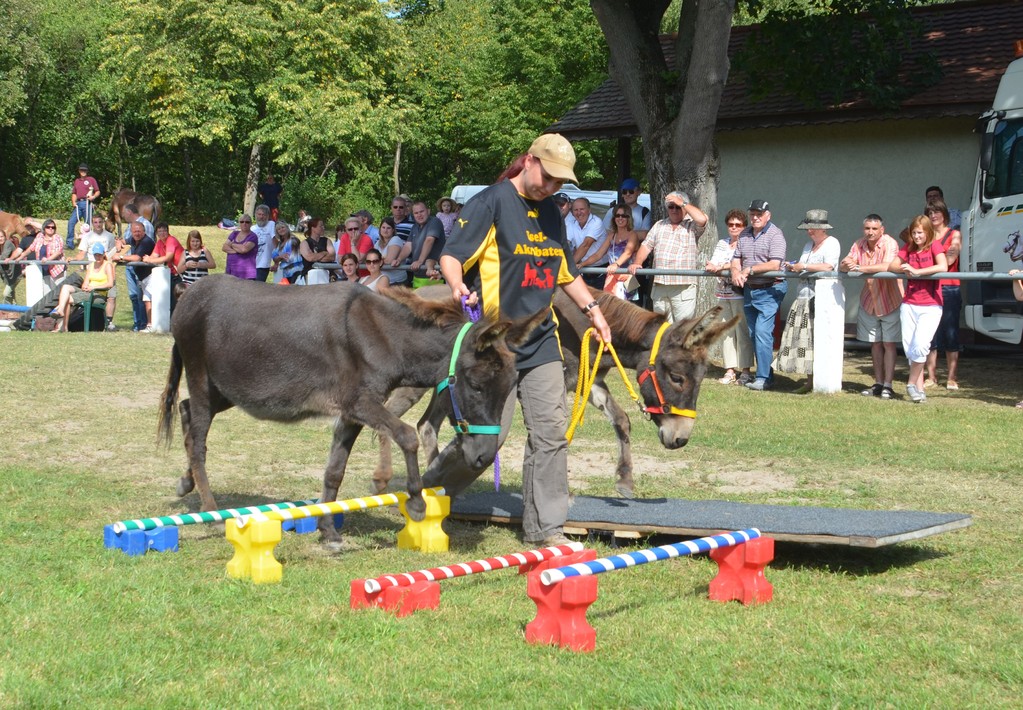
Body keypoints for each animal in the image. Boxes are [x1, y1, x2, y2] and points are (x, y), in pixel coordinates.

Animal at [157, 276, 544, 548]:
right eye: (476, 386)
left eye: (510, 388)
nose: (482, 457)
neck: (385, 337)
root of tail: (188, 294)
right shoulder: (361, 403)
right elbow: (406, 435)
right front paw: (417, 502)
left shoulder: (351, 412)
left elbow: (335, 471)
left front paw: (327, 530)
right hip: (202, 377)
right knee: (198, 439)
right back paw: (211, 509)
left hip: (225, 389)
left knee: (187, 413)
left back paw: (186, 483)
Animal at [374, 288, 736, 501]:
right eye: (677, 378)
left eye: (700, 380)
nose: (680, 439)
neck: (583, 328)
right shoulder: (557, 383)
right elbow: (556, 433)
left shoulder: (588, 381)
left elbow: (621, 421)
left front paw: (625, 481)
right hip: (416, 383)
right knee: (389, 415)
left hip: (445, 386)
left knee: (425, 425)